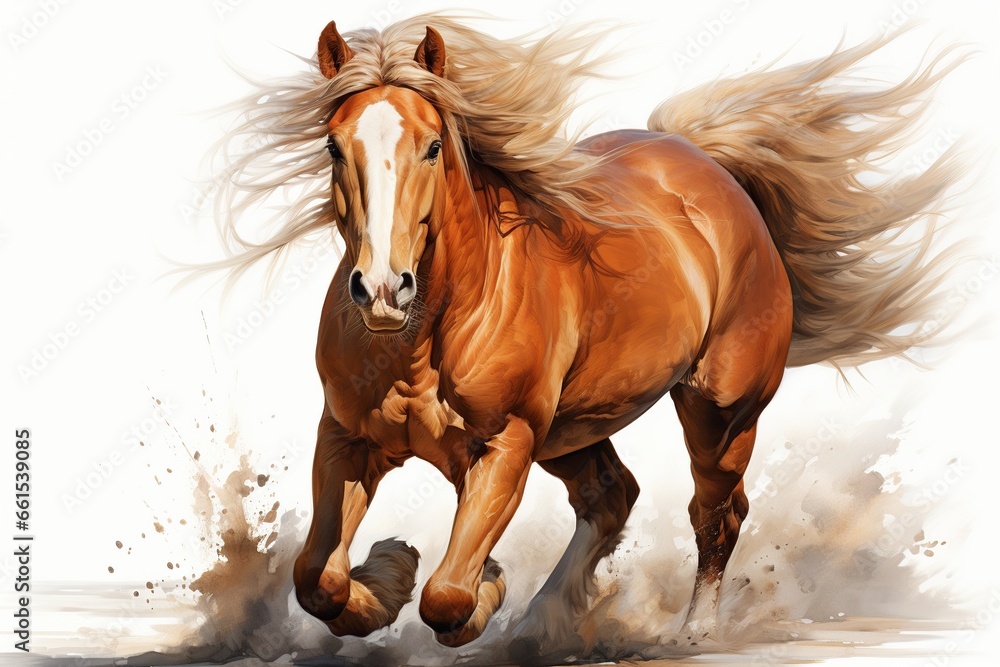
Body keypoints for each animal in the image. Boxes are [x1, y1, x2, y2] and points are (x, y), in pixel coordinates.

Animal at [204, 15, 967, 653]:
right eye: (335, 146)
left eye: (432, 147)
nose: (385, 288)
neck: (423, 340)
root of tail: (709, 168)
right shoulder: (347, 435)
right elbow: (317, 580)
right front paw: (392, 568)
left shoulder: (504, 444)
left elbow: (448, 595)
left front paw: (480, 584)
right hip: (572, 429)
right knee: (612, 494)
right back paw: (545, 622)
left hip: (718, 413)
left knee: (717, 511)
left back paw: (692, 632)